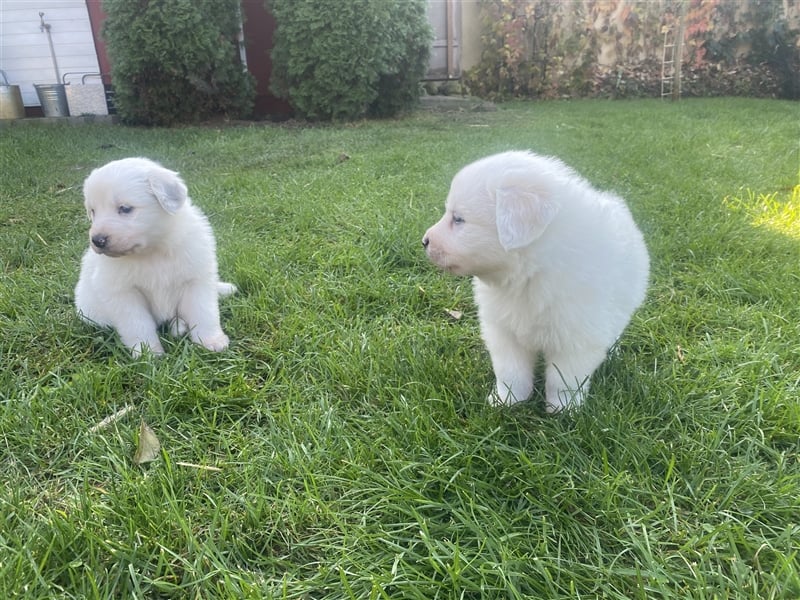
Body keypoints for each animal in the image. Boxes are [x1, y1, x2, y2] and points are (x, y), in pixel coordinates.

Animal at [74, 157, 238, 358]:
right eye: (93, 211)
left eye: (125, 208)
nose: (97, 240)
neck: (153, 251)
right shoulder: (124, 293)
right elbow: (138, 324)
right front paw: (149, 353)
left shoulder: (196, 280)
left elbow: (204, 313)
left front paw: (211, 341)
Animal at [424, 150, 648, 412]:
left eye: (459, 219)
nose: (424, 241)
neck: (529, 276)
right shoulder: (504, 332)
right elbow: (511, 373)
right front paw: (506, 401)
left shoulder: (576, 338)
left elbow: (564, 380)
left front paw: (563, 410)